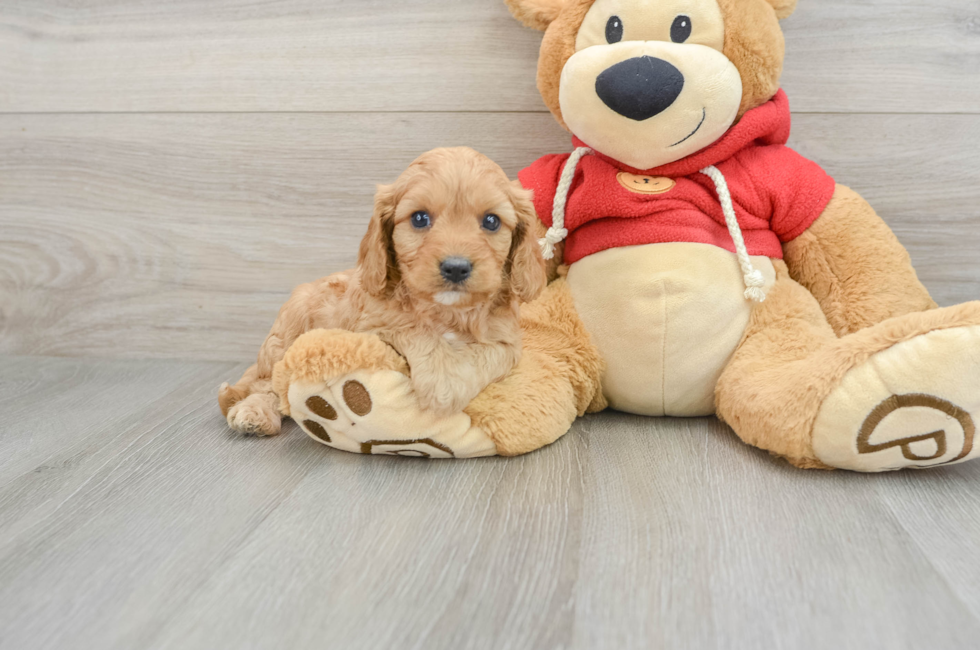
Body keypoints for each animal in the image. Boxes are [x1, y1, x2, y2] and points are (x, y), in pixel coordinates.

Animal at [217, 147, 548, 436]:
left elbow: (487, 353)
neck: (446, 311)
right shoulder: (371, 326)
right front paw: (442, 381)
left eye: (491, 221)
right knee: (267, 383)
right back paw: (255, 413)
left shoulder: (507, 342)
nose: (456, 268)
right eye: (419, 218)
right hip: (286, 333)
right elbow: (413, 328)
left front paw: (450, 382)